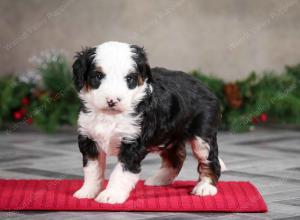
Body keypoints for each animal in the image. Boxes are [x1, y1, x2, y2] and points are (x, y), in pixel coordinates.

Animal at [71, 41, 224, 205]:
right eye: (98, 76)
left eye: (129, 79)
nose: (112, 101)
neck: (111, 116)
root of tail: (207, 88)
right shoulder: (89, 139)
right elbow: (92, 169)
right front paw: (87, 191)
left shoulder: (132, 143)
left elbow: (120, 172)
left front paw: (112, 194)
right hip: (170, 134)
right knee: (176, 157)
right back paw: (160, 179)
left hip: (202, 137)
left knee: (210, 160)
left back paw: (205, 187)